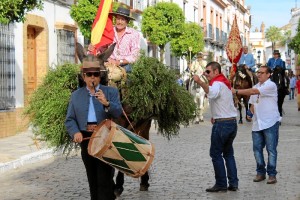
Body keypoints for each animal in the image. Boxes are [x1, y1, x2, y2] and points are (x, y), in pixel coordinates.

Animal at [76, 43, 151, 194]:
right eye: (81, 75)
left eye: (102, 73)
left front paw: (114, 186)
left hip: (144, 123)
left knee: (144, 139)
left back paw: (141, 181)